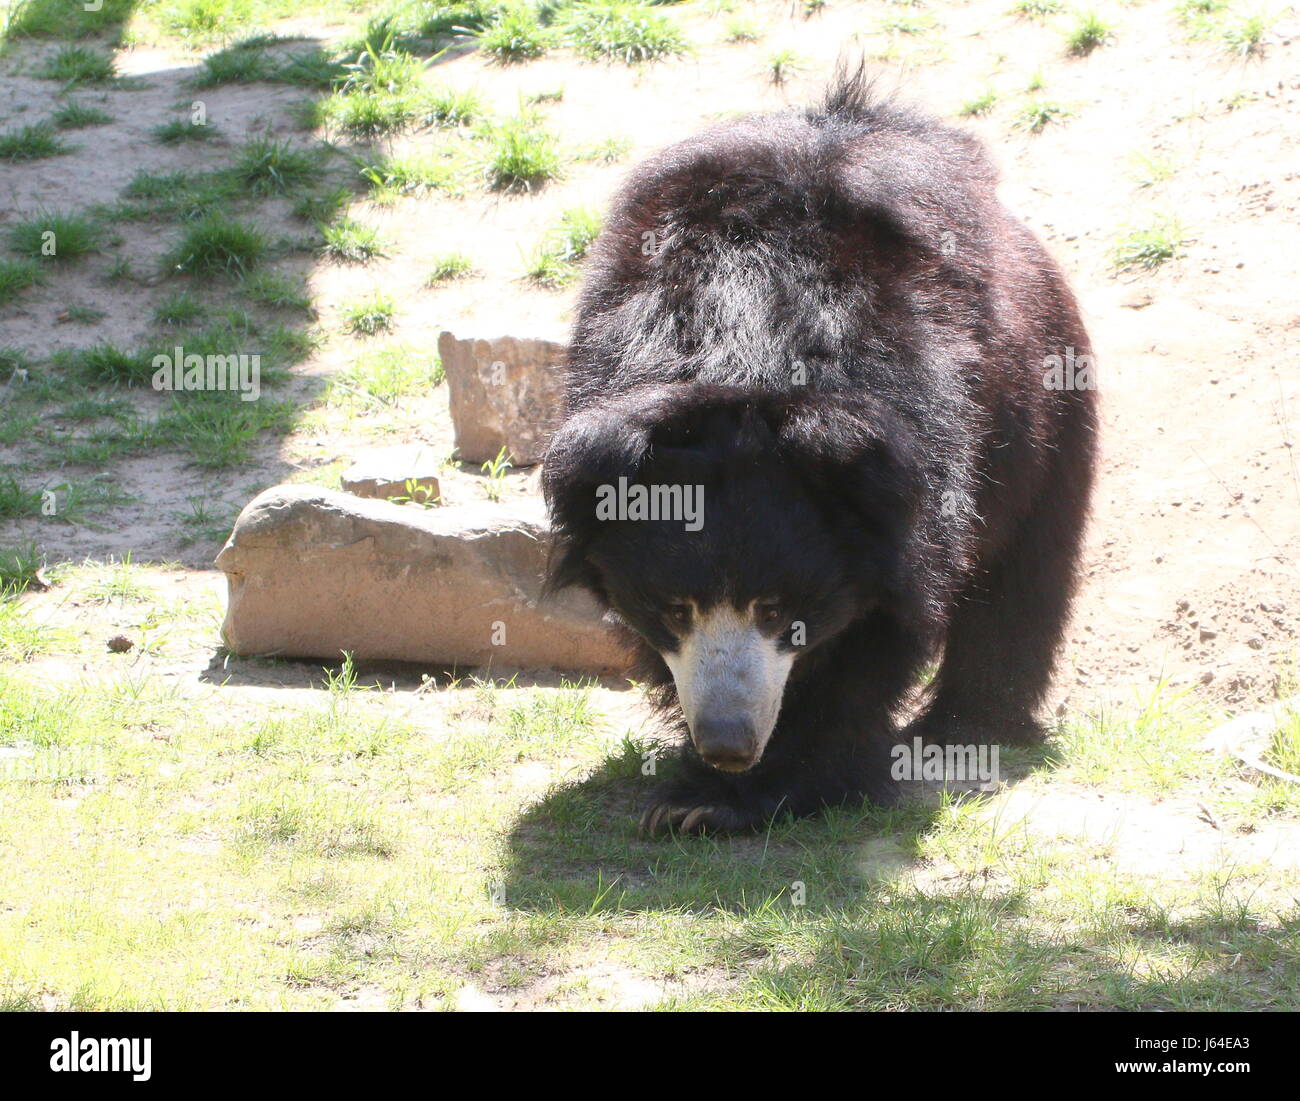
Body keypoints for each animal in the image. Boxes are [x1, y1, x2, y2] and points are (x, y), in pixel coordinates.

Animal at [538, 68, 1097, 837]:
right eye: (675, 609)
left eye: (777, 610)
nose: (728, 744)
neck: (745, 335)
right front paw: (698, 786)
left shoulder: (912, 466)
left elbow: (883, 621)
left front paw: (733, 796)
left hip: (1045, 411)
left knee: (1024, 577)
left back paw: (967, 728)